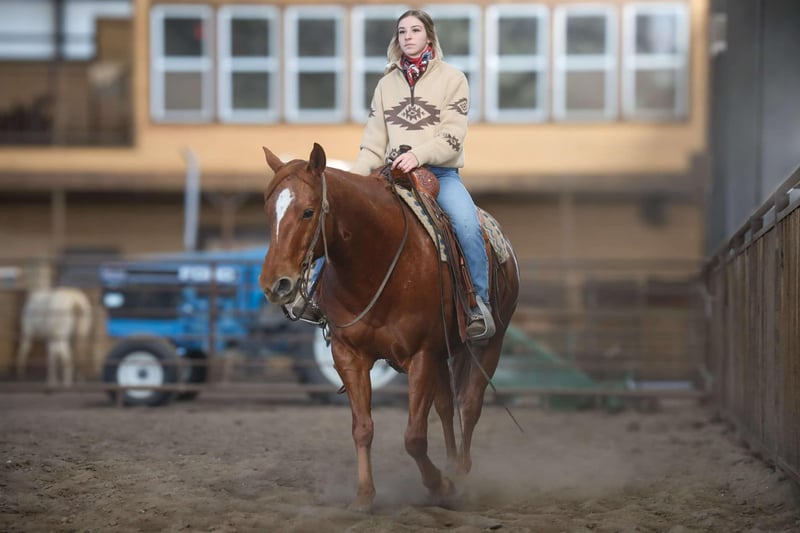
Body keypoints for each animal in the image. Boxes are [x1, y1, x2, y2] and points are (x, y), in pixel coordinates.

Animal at [258, 143, 520, 511]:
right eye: (269, 212)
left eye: (308, 212)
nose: (275, 284)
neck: (376, 260)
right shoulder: (349, 356)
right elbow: (363, 427)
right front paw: (365, 496)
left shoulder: (421, 356)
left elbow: (414, 437)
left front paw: (440, 487)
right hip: (444, 353)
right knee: (445, 406)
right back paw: (451, 465)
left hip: (489, 345)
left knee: (469, 404)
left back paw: (461, 476)